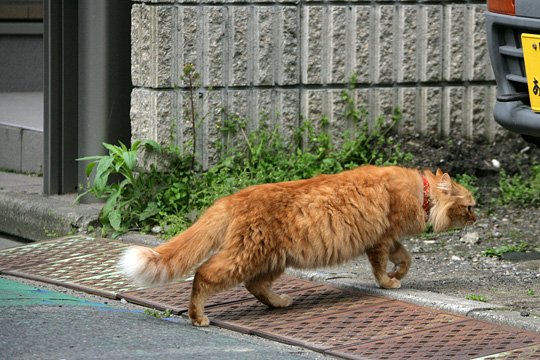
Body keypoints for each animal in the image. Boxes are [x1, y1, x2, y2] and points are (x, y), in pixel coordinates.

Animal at [119, 165, 476, 326]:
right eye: (470, 206)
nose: (478, 217)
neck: (420, 191)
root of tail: (232, 198)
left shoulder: (388, 238)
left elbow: (406, 257)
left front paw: (399, 274)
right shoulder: (379, 240)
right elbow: (382, 267)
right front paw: (389, 282)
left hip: (272, 260)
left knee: (255, 286)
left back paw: (279, 302)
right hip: (245, 257)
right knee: (204, 274)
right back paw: (198, 316)